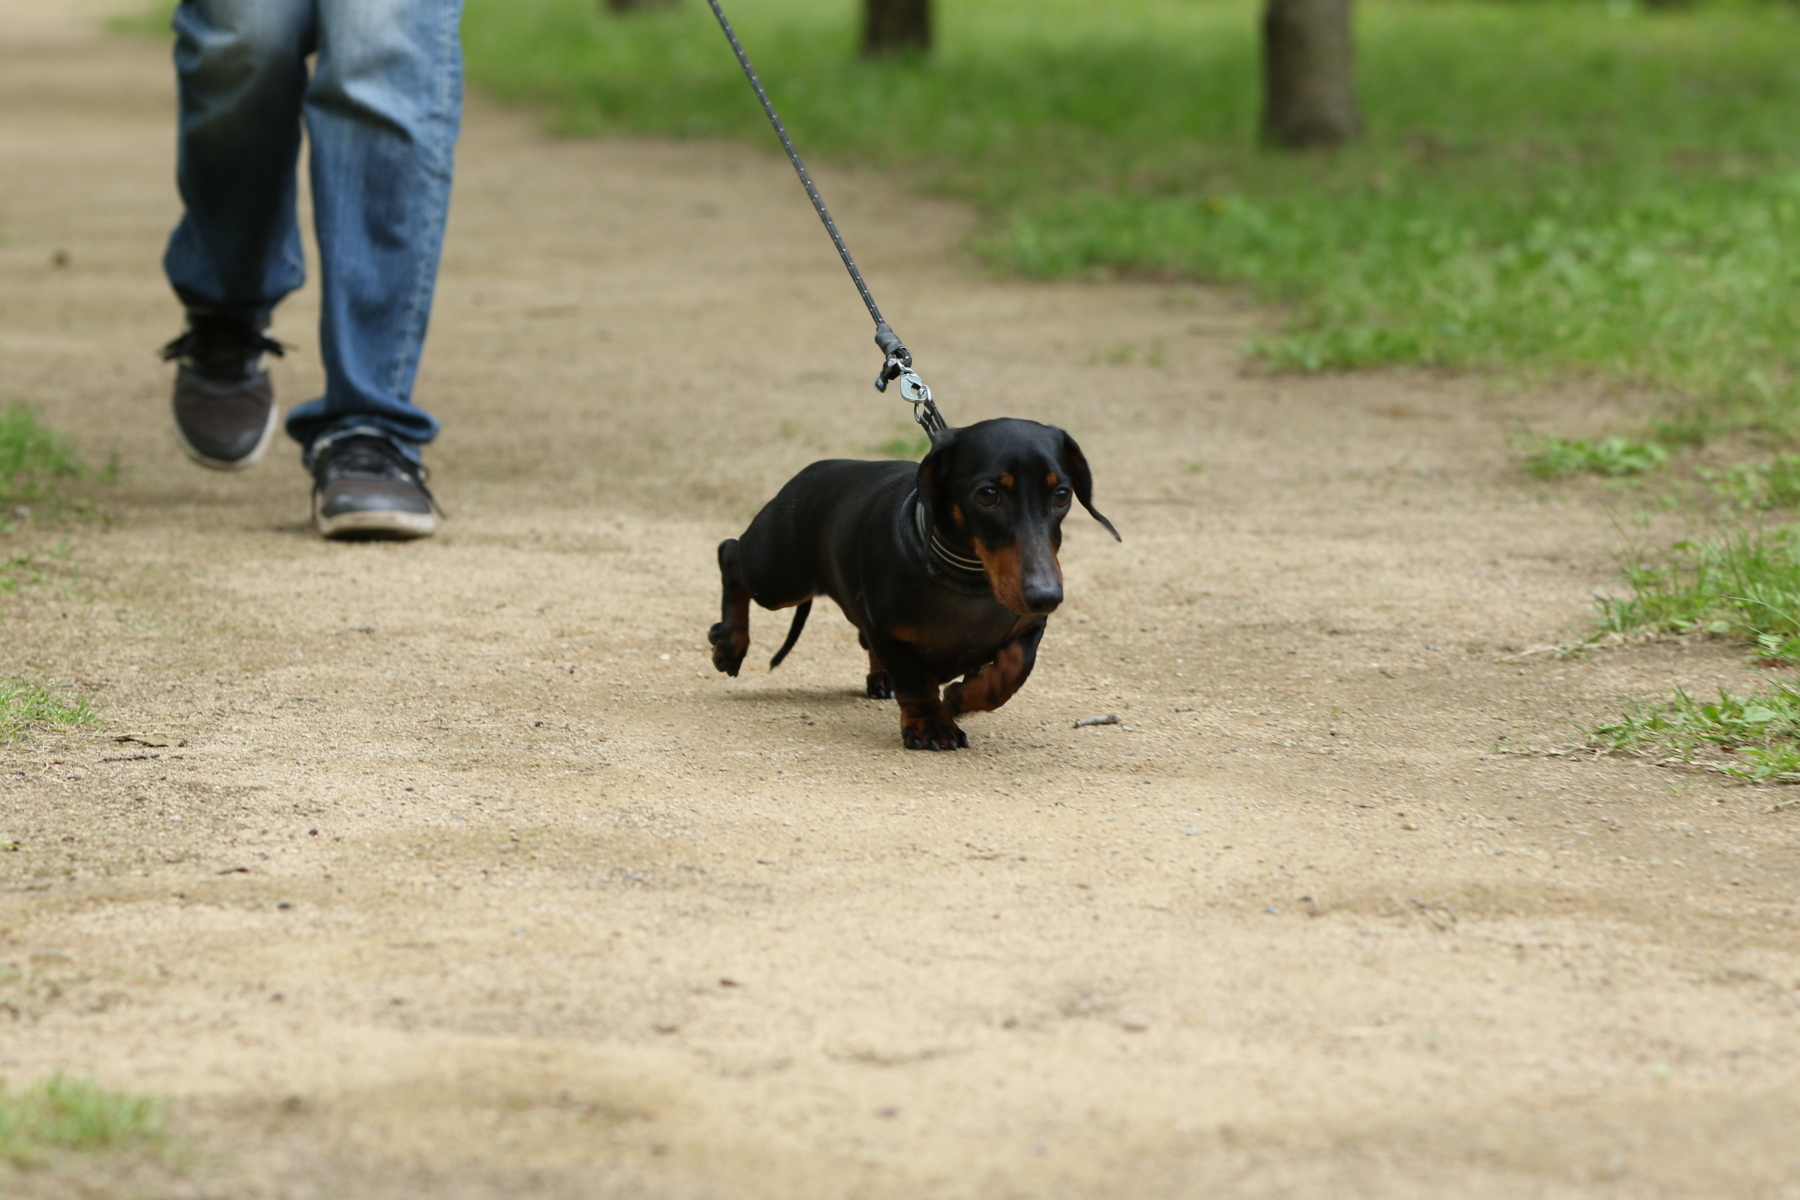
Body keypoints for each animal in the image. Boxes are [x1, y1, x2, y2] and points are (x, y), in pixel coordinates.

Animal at [709, 420, 1116, 752]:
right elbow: (916, 680)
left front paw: (962, 695)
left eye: (1061, 494)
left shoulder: (1029, 627)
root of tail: (814, 469)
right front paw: (931, 724)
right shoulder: (886, 630)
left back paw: (882, 678)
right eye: (988, 495)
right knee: (729, 553)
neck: (966, 583)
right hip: (776, 576)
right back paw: (730, 643)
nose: (1046, 596)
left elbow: (1013, 670)